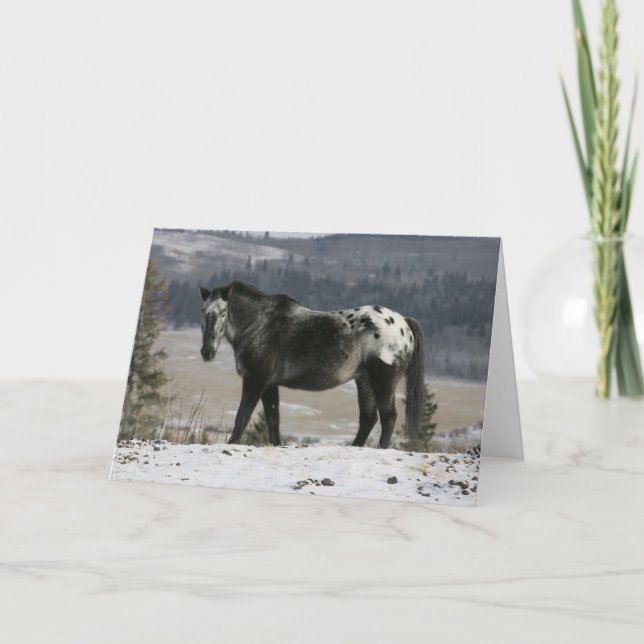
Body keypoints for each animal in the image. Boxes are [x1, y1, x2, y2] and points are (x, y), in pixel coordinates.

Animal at [198, 281, 425, 449]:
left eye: (222, 313)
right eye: (203, 313)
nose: (206, 352)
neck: (260, 323)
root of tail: (403, 322)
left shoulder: (256, 380)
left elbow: (242, 416)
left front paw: (232, 443)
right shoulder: (269, 384)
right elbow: (273, 418)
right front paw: (276, 444)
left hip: (383, 381)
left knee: (388, 417)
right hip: (365, 382)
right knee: (369, 418)